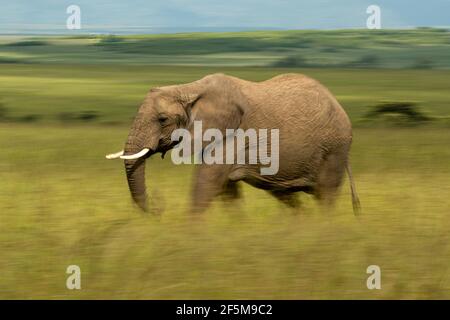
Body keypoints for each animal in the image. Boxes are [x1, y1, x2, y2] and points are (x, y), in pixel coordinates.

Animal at [104, 73, 358, 215]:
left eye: (162, 119)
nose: (160, 206)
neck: (188, 88)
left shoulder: (234, 134)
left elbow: (207, 182)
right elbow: (227, 191)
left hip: (334, 149)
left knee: (325, 196)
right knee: (288, 196)